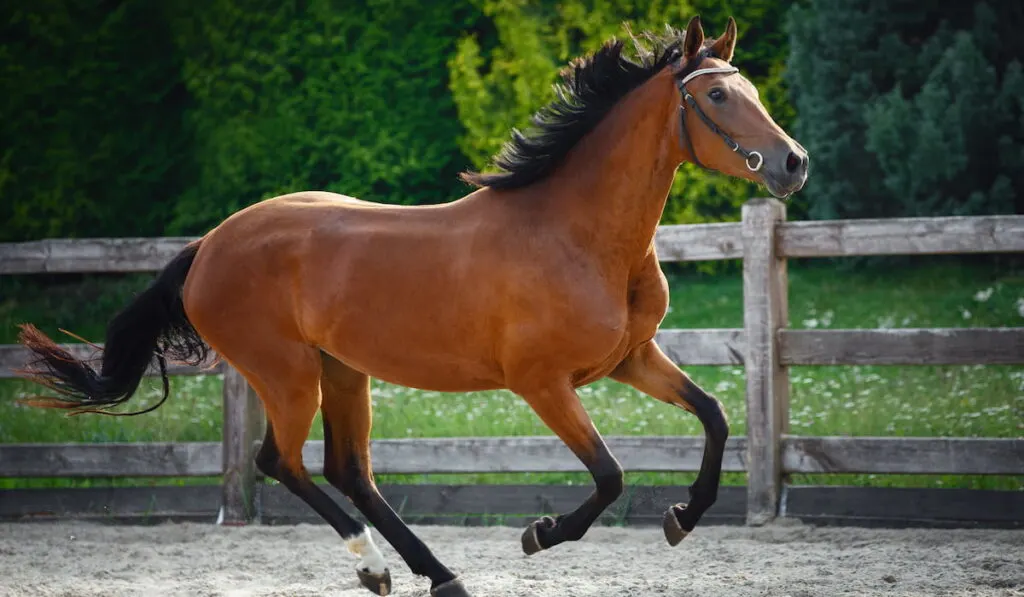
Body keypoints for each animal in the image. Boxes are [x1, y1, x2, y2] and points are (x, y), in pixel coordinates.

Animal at [9, 14, 806, 597]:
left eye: (751, 90)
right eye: (716, 97)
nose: (794, 163)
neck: (576, 235)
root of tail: (208, 245)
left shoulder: (630, 360)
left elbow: (715, 415)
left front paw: (682, 518)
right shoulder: (542, 383)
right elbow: (609, 475)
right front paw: (539, 533)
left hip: (342, 370)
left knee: (346, 469)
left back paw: (439, 574)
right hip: (286, 374)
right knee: (282, 462)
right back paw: (377, 567)